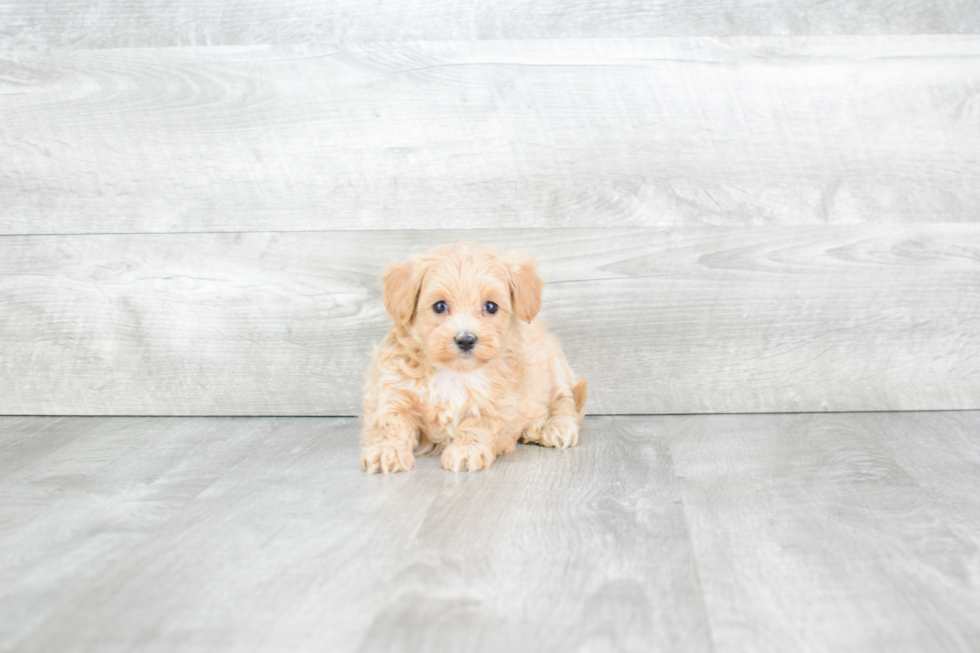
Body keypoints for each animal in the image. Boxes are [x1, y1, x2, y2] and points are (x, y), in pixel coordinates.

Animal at [362, 242, 584, 472]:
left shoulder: (497, 407)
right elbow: (391, 423)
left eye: (491, 306)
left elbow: (477, 424)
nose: (466, 340)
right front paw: (387, 450)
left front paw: (467, 449)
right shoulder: (394, 392)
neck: (455, 372)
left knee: (565, 402)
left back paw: (556, 428)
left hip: (554, 367)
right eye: (439, 306)